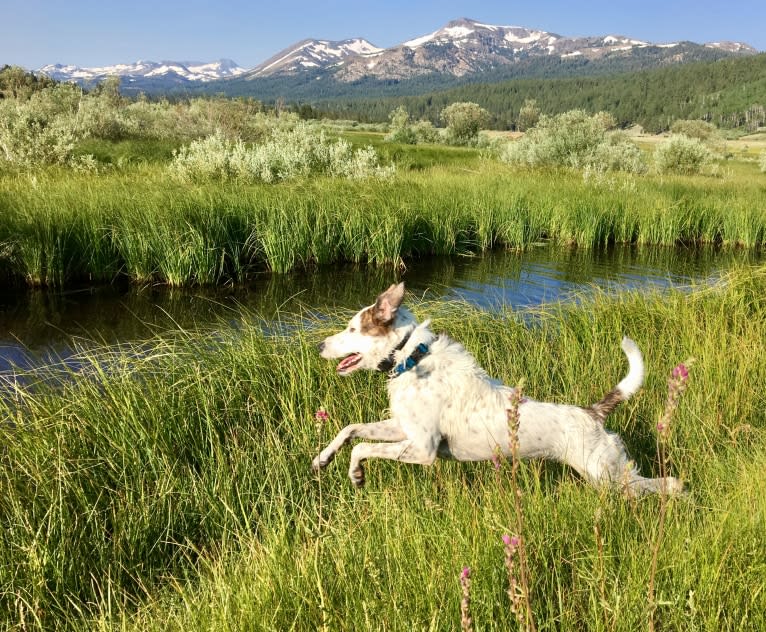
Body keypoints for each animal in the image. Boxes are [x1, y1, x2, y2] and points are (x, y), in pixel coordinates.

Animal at [316, 284, 688, 496]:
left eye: (352, 328)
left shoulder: (423, 449)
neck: (411, 357)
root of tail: (593, 413)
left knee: (665, 484)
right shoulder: (402, 429)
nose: (319, 345)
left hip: (607, 474)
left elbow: (362, 447)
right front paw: (324, 459)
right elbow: (349, 431)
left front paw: (356, 474)